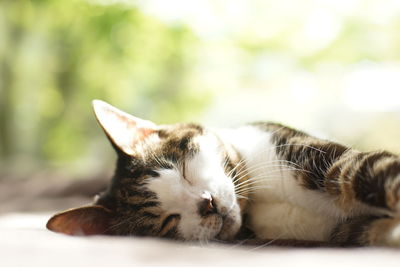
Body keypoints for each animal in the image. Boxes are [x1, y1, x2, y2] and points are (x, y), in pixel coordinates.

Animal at [46, 101, 400, 249]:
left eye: (183, 171)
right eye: (167, 220)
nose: (207, 204)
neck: (257, 199)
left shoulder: (328, 162)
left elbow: (380, 173)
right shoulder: (342, 230)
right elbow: (374, 230)